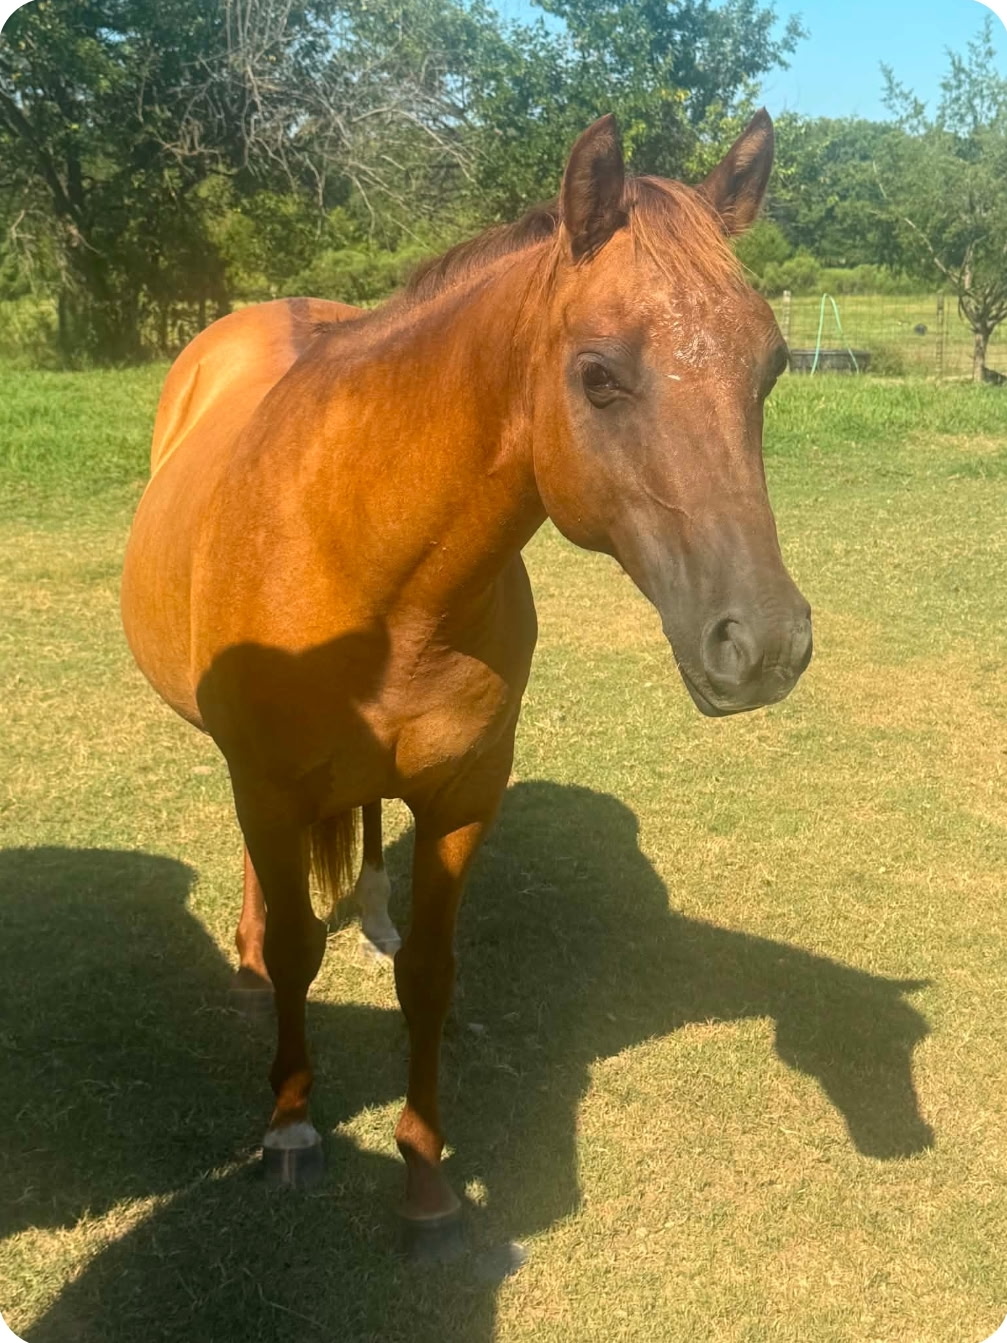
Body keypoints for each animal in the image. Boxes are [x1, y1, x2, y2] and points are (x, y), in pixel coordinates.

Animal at [120, 110, 812, 1257]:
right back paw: (253, 959)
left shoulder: (460, 798)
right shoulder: (268, 780)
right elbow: (301, 953)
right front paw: (291, 1127)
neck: (366, 558)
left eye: (769, 368)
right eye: (597, 374)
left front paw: (427, 1178)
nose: (762, 645)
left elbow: (430, 978)